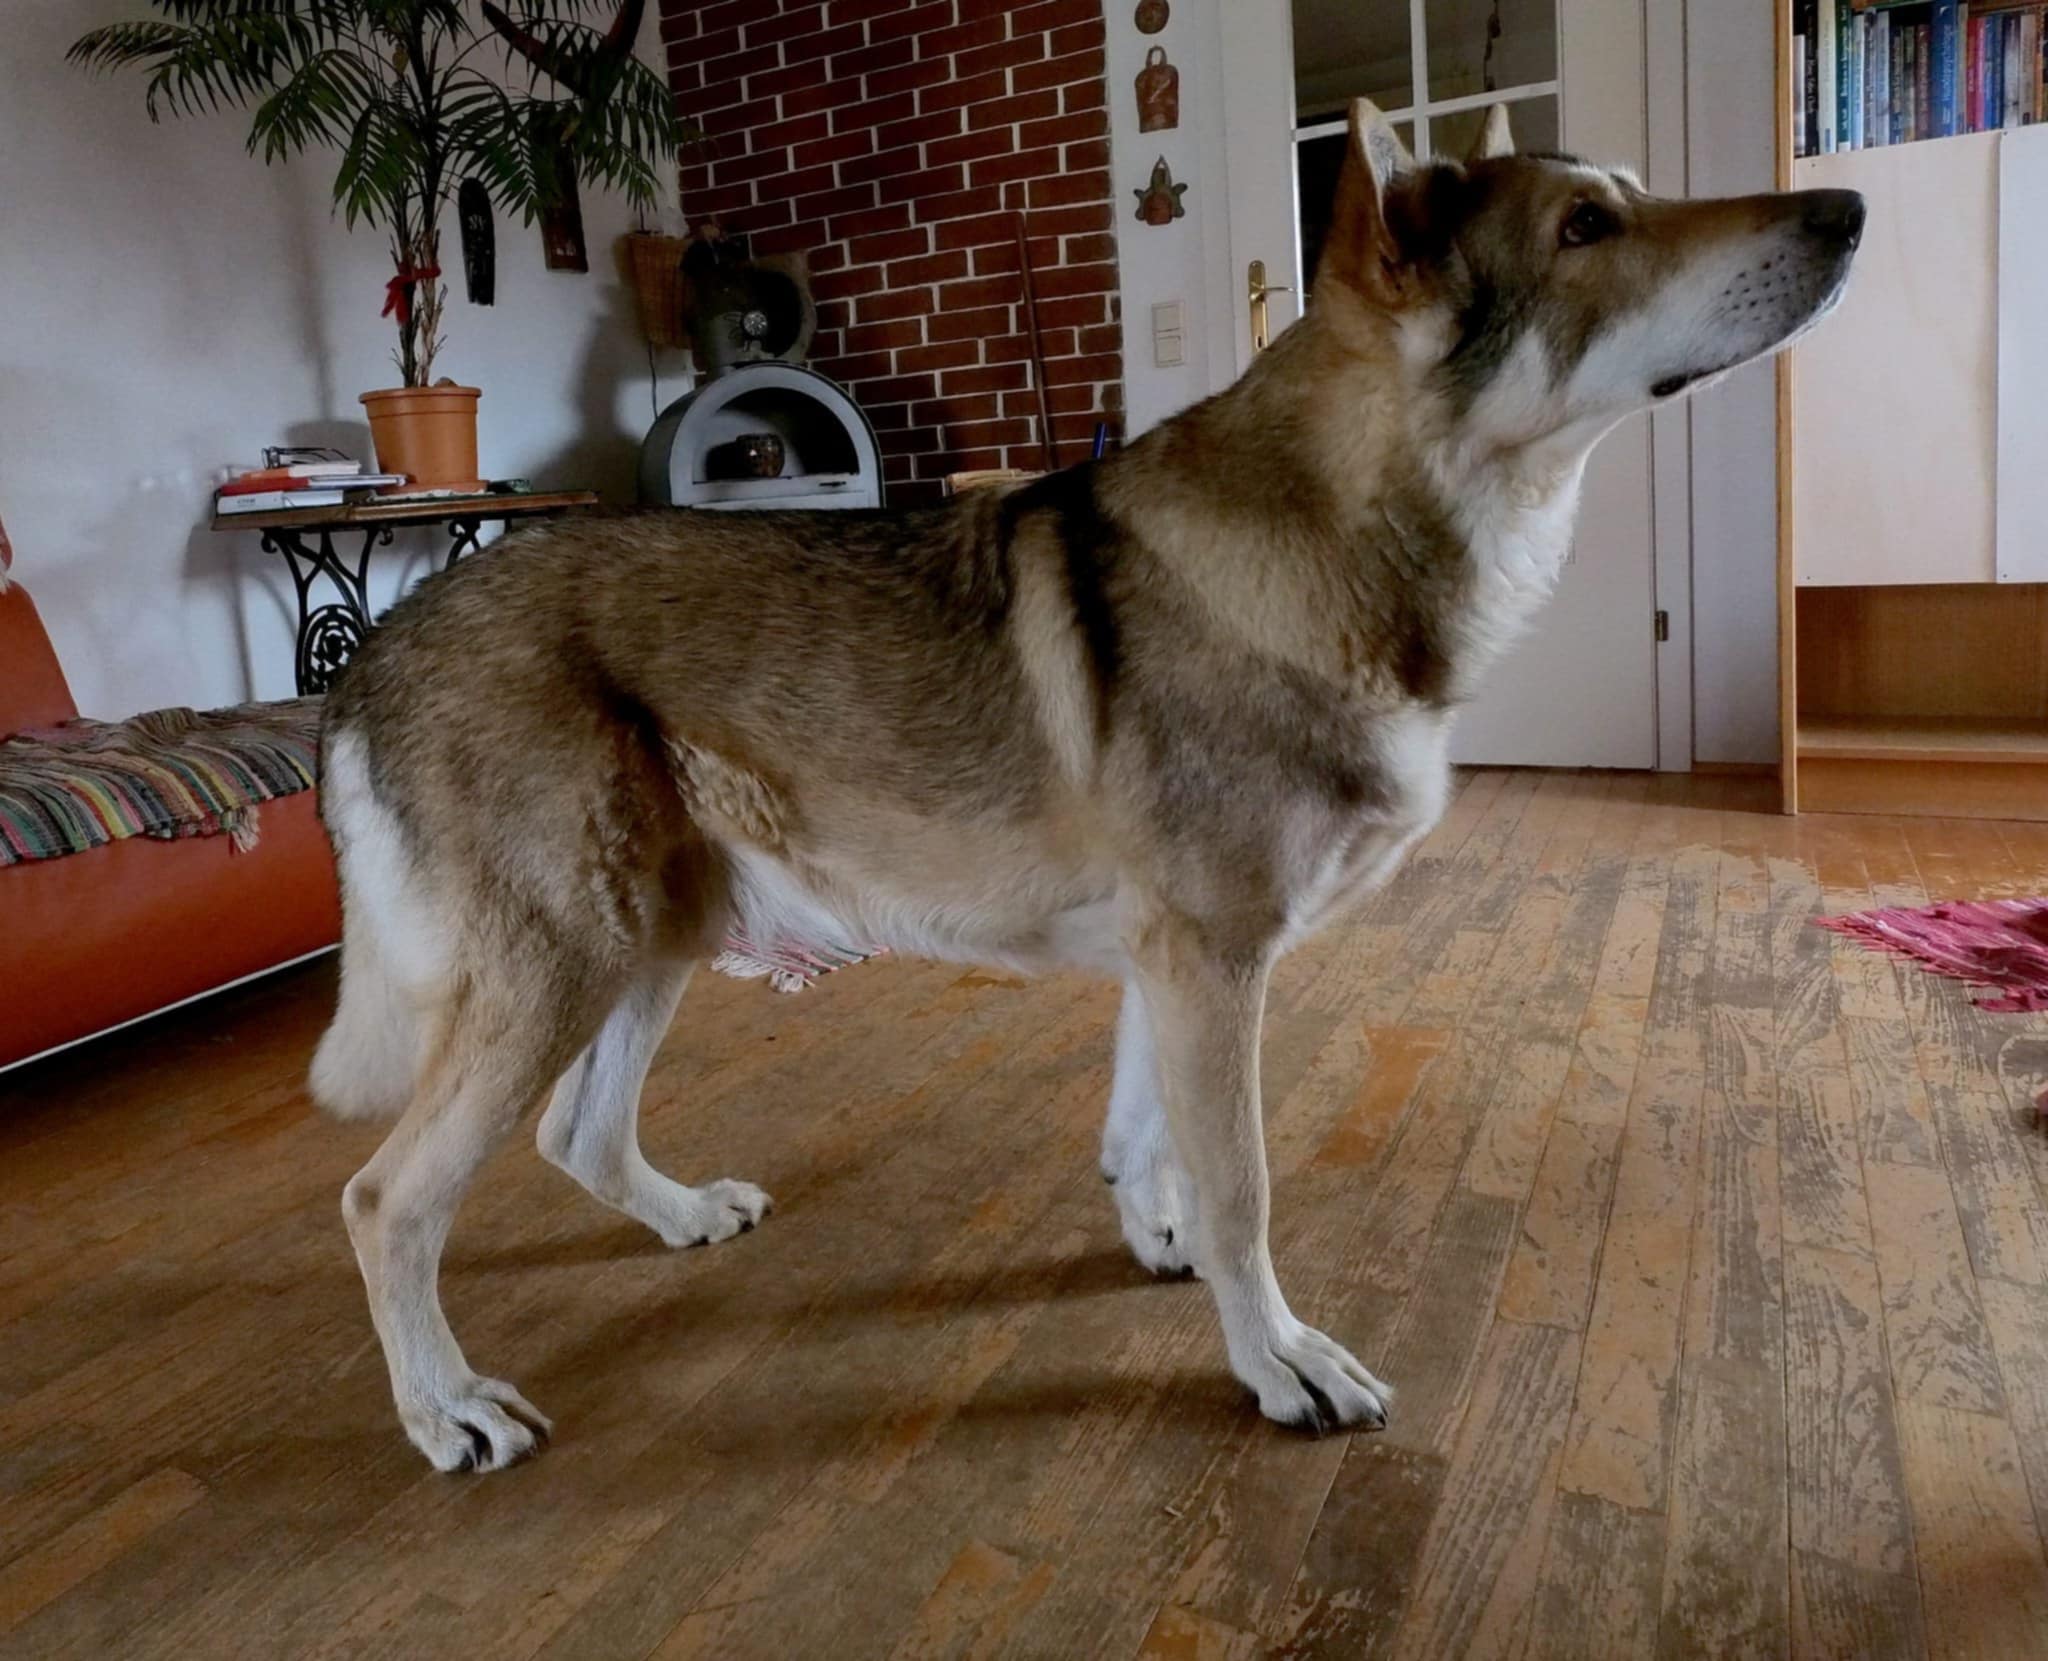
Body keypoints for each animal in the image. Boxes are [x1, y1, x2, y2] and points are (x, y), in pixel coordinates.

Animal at [310, 98, 1864, 1473]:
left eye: (1629, 195)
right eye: (1587, 226)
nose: (1847, 209)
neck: (1351, 533)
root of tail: (370, 652)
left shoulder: (1171, 964)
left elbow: (1146, 1145)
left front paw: (1163, 1248)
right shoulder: (1211, 960)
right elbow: (1241, 1189)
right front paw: (1277, 1361)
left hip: (654, 937)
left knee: (575, 1129)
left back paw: (678, 1216)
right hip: (569, 963)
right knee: (387, 1200)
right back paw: (446, 1410)